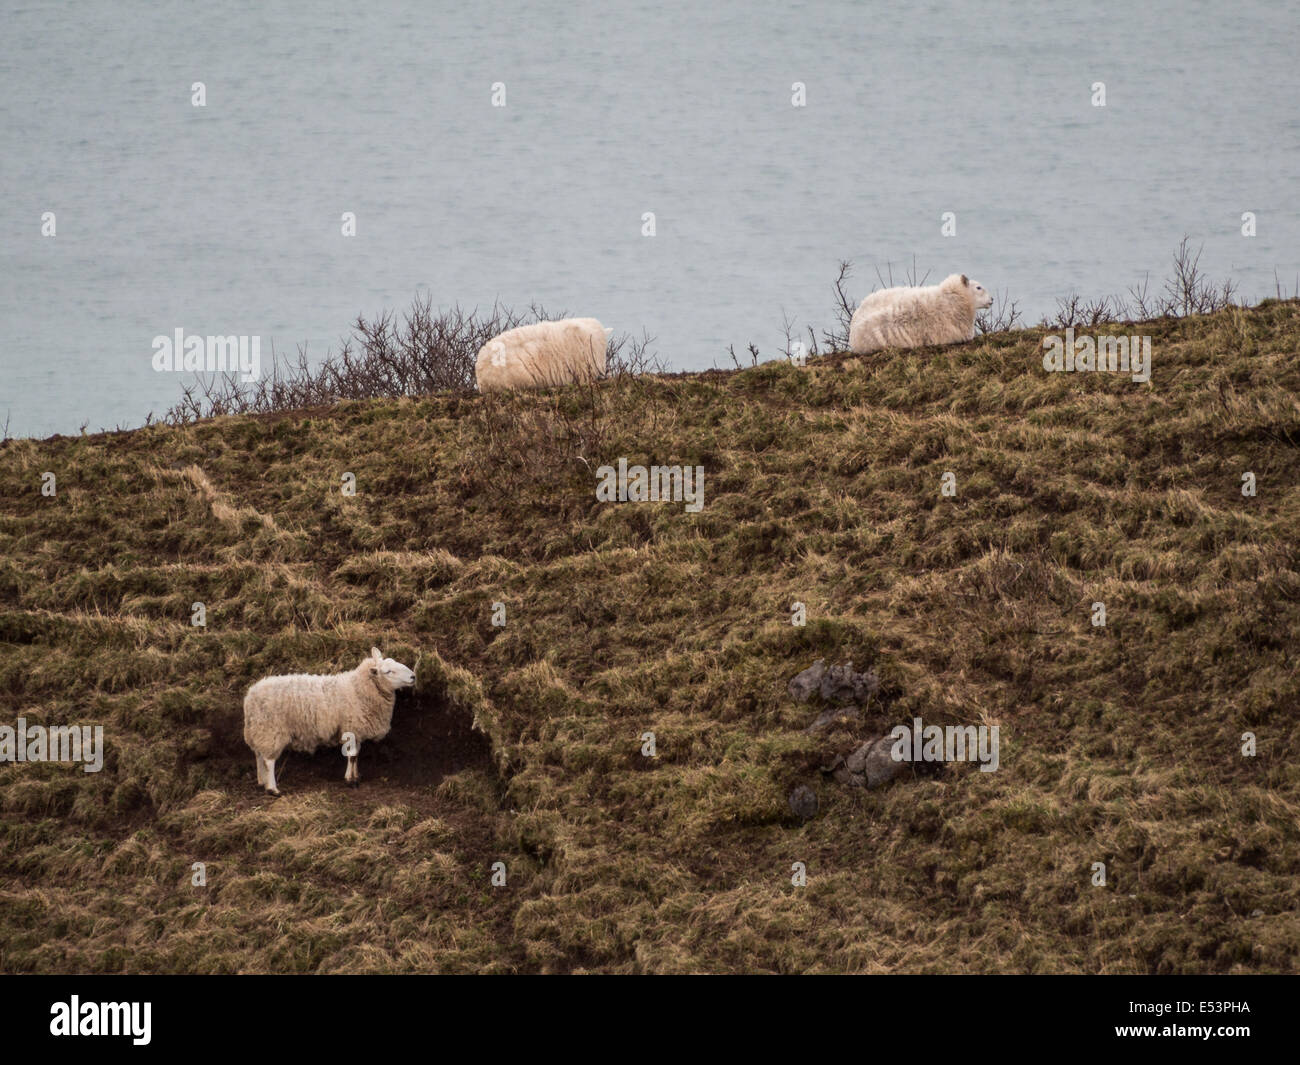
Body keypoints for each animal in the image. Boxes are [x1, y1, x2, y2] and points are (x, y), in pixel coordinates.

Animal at [239, 644, 410, 795]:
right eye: (388, 671)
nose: (413, 676)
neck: (358, 688)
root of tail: (250, 696)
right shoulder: (351, 727)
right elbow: (352, 756)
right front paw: (350, 780)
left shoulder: (356, 730)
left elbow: (356, 755)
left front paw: (356, 776)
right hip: (271, 729)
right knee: (269, 760)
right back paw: (273, 789)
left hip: (259, 729)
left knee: (259, 755)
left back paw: (262, 781)